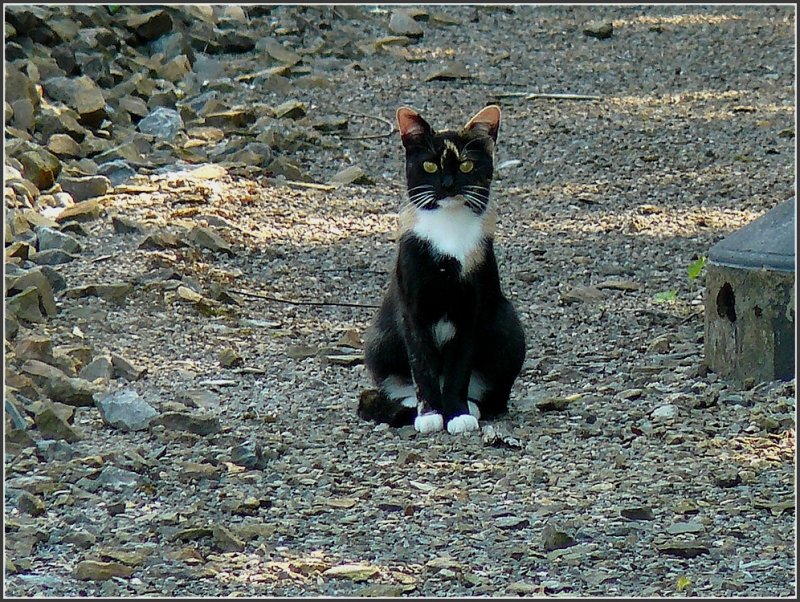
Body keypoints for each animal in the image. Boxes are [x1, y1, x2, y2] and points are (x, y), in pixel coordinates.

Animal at [358, 103, 524, 432]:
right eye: (431, 166)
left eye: (467, 166)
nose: (448, 185)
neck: (448, 230)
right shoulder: (411, 305)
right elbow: (421, 363)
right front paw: (430, 413)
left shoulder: (474, 306)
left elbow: (460, 365)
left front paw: (457, 413)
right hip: (379, 338)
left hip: (509, 327)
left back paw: (472, 405)